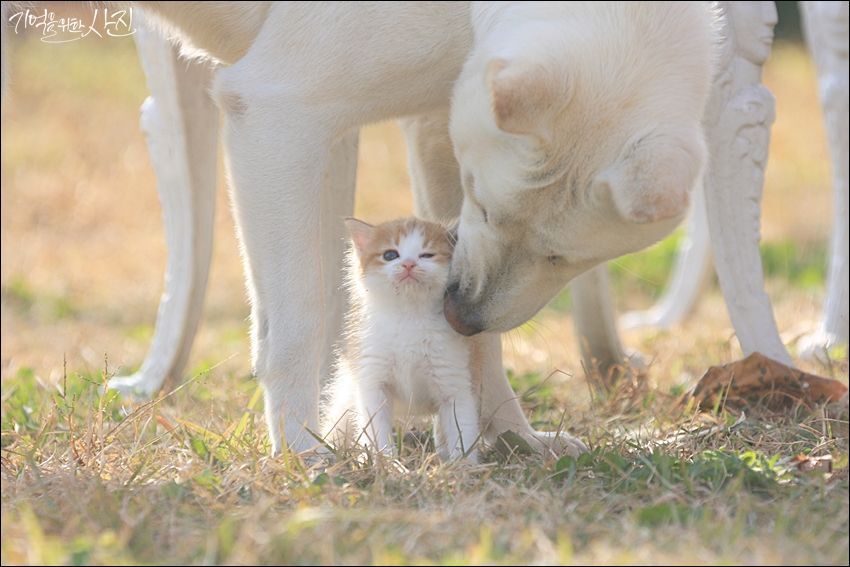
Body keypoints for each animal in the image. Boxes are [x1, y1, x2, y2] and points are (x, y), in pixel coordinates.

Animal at [322, 216, 476, 462]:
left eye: (427, 255)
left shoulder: (454, 381)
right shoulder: (372, 377)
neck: (409, 315)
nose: (409, 264)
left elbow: (463, 426)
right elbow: (376, 428)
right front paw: (384, 461)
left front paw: (464, 465)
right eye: (390, 255)